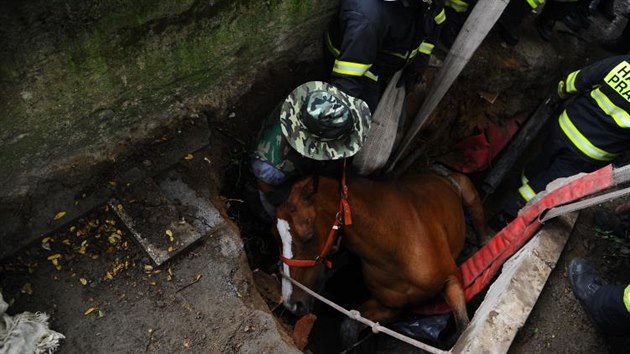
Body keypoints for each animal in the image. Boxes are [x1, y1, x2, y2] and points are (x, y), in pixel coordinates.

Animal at [274, 169, 486, 342]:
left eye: (308, 237)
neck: (395, 247)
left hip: (467, 190)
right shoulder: (391, 306)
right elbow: (349, 327)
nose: (292, 304)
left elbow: (463, 327)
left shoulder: (452, 279)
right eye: (276, 236)